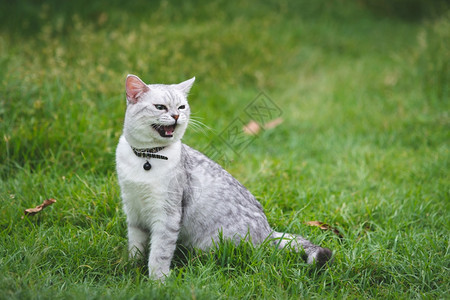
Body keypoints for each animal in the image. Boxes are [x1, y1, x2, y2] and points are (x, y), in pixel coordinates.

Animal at [115, 74, 334, 280]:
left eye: (181, 106)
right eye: (160, 107)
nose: (176, 115)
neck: (146, 157)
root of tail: (268, 232)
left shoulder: (167, 216)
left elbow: (159, 253)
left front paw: (158, 281)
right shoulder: (133, 211)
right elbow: (135, 246)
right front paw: (131, 267)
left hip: (209, 244)